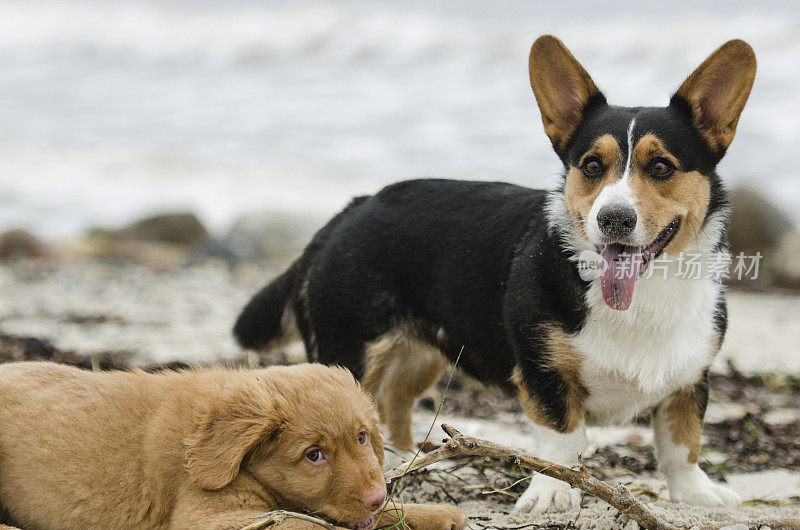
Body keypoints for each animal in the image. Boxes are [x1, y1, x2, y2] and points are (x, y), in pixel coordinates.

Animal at [0, 360, 468, 524]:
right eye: (314, 456)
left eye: (362, 438)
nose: (375, 496)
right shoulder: (211, 518)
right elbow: (307, 524)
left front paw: (436, 514)